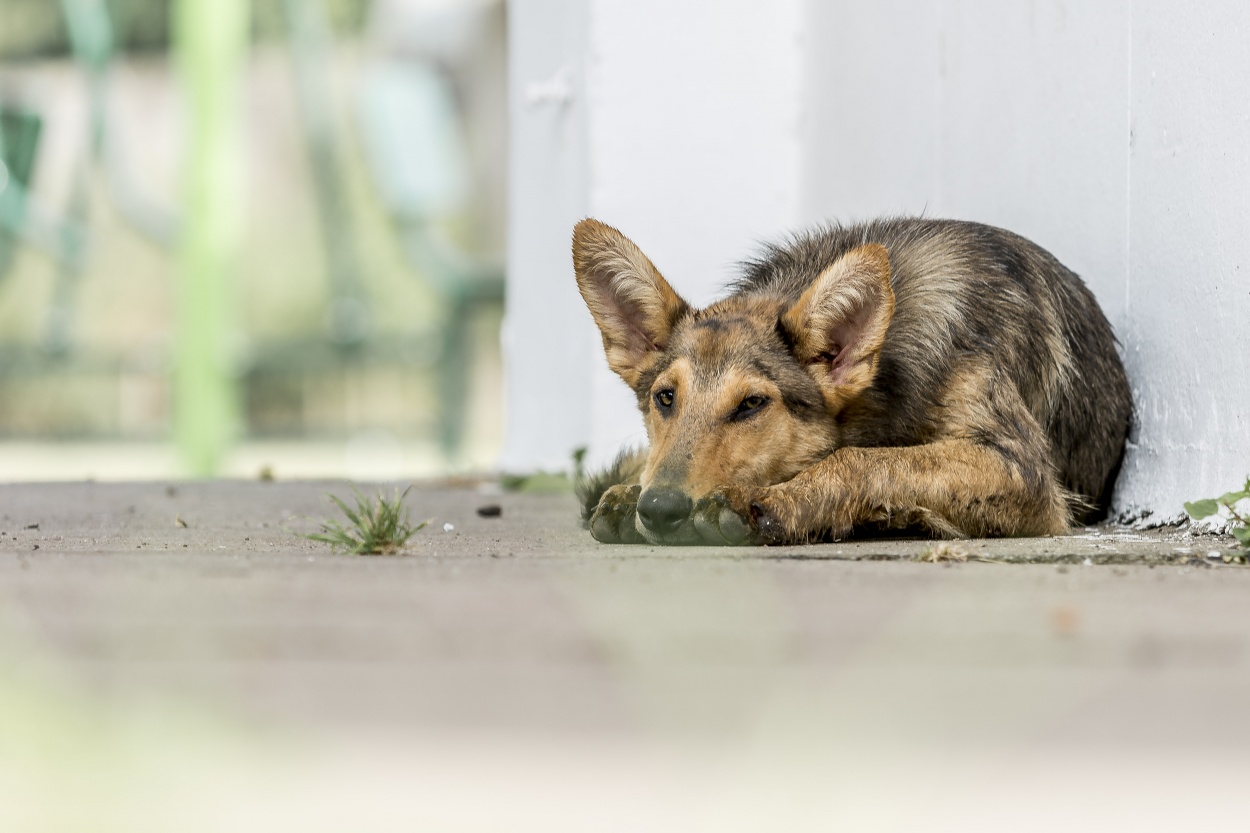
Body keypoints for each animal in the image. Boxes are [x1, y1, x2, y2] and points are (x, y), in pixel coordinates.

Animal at [575, 215, 1135, 545]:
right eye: (665, 398)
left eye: (752, 404)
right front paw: (628, 494)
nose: (659, 509)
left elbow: (861, 460)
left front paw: (774, 503)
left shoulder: (1021, 471)